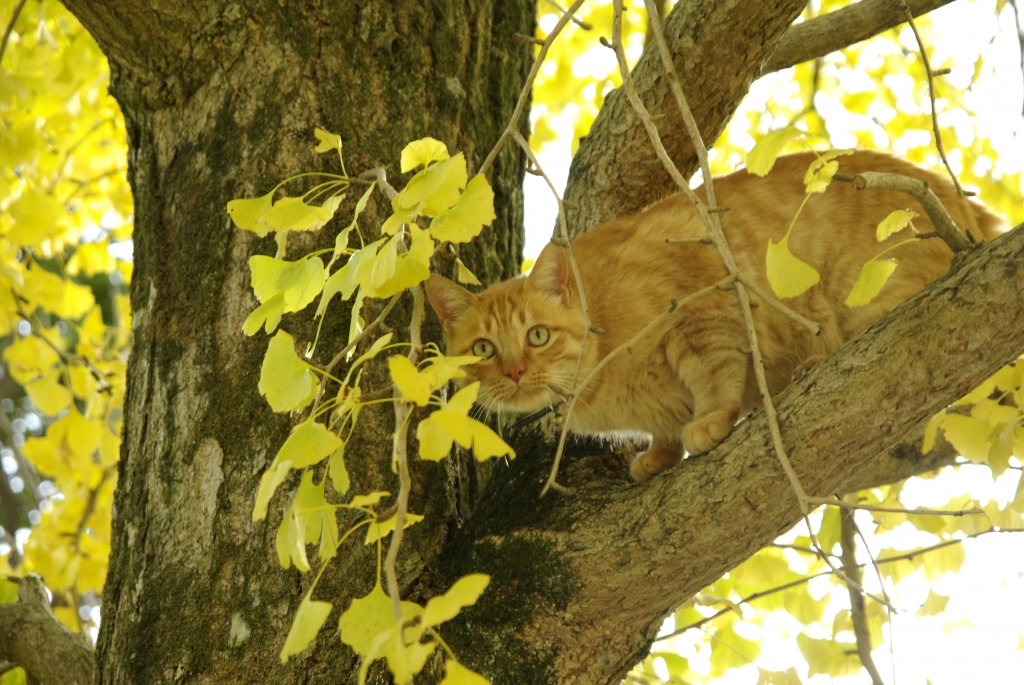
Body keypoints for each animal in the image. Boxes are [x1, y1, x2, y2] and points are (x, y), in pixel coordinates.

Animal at [421, 149, 999, 481]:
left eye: (537, 336)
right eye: (483, 349)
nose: (516, 372)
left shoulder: (702, 307)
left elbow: (714, 376)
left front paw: (709, 423)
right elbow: (665, 429)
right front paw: (660, 454)